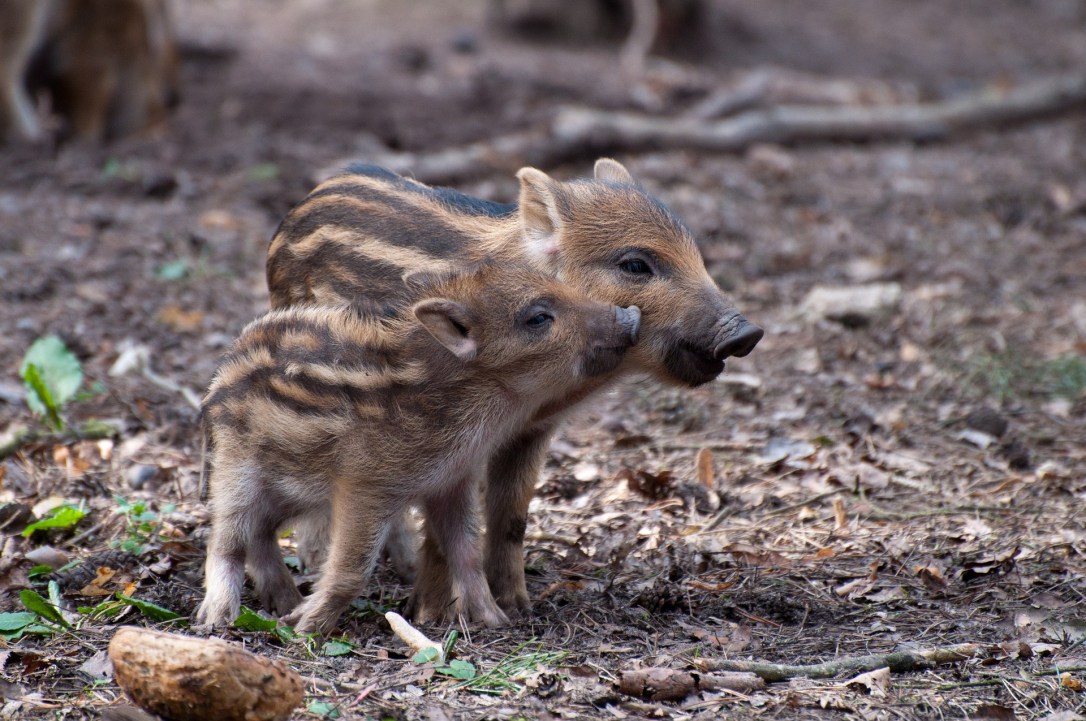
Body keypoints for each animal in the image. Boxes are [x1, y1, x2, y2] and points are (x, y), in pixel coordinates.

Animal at [196, 262, 641, 635]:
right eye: (538, 317)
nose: (631, 316)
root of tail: (220, 377)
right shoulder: (366, 484)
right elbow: (352, 568)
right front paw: (306, 628)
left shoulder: (452, 482)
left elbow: (466, 551)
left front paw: (494, 621)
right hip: (237, 470)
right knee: (226, 538)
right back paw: (219, 618)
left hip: (292, 488)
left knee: (261, 533)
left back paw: (284, 601)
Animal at [265, 158, 762, 617]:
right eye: (635, 264)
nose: (746, 333)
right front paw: (431, 616)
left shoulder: (533, 432)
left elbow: (510, 516)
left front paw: (518, 606)